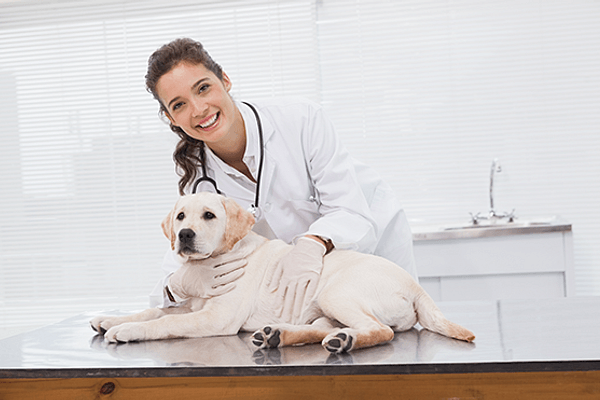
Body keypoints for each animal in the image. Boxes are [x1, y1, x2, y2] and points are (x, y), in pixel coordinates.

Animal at [90, 194, 474, 354]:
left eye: (209, 216)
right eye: (181, 216)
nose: (184, 235)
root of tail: (417, 288)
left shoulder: (215, 318)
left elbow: (165, 321)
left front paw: (126, 331)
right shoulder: (192, 303)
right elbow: (155, 309)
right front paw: (112, 319)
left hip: (336, 293)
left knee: (380, 331)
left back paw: (342, 342)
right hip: (324, 307)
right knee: (321, 329)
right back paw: (281, 335)